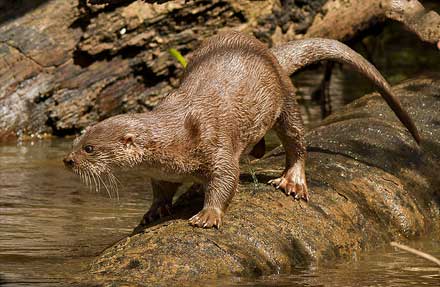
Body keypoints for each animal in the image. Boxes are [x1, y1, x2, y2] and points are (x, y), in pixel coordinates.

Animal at [63, 31, 422, 230]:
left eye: (90, 149)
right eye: (79, 140)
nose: (68, 160)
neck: (175, 137)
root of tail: (269, 52)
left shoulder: (213, 142)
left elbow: (225, 179)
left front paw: (208, 215)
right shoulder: (163, 171)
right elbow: (162, 189)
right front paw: (154, 211)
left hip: (286, 100)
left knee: (297, 142)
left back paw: (292, 182)